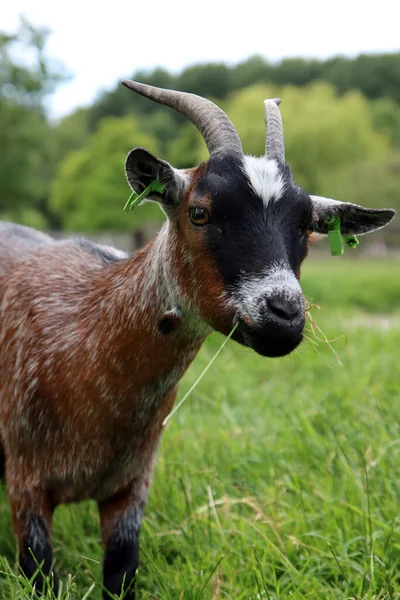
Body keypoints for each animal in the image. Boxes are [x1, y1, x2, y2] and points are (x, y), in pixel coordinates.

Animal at [0, 81, 394, 600]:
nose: (285, 314)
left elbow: (122, 571)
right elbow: (39, 573)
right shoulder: (25, 483)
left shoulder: (132, 486)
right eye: (199, 212)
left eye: (307, 225)